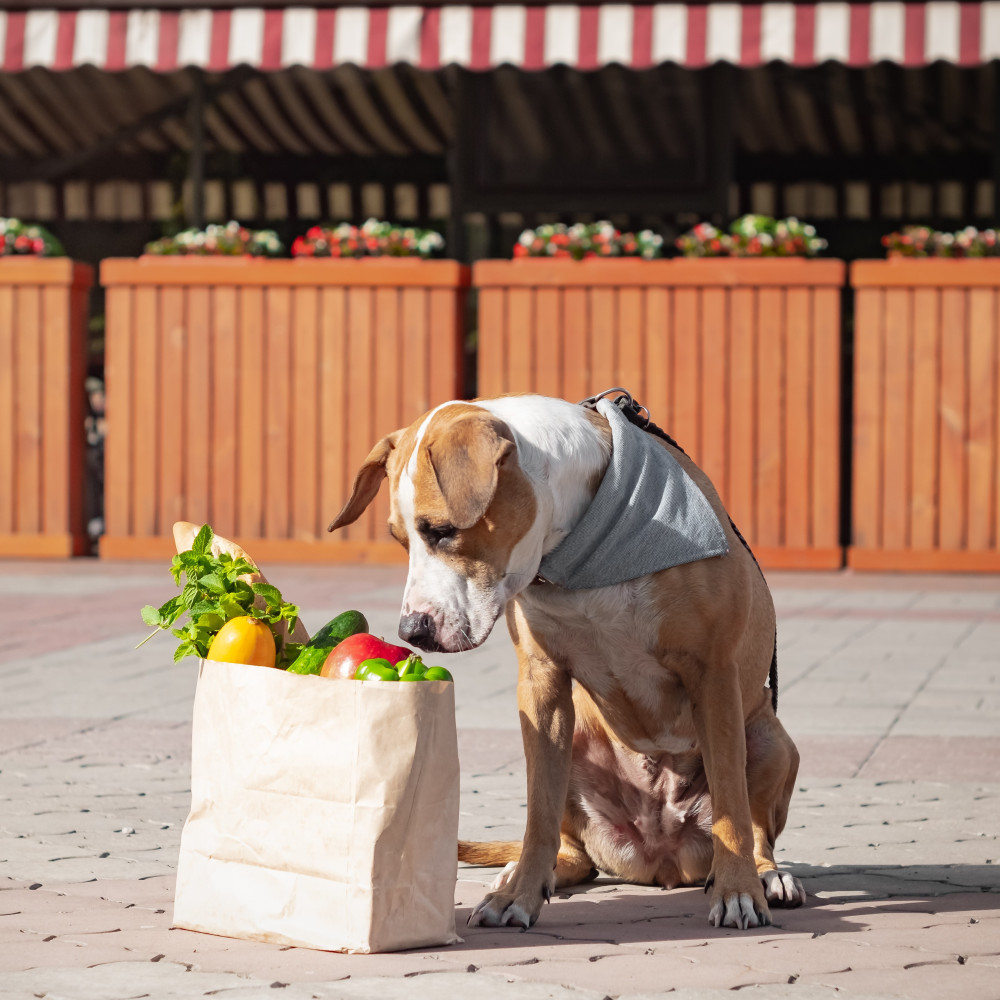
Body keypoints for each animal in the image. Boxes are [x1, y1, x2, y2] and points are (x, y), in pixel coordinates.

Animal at [328, 388, 804, 928]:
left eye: (442, 531)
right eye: (400, 539)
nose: (412, 630)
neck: (579, 555)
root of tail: (662, 859)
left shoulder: (713, 675)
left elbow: (731, 806)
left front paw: (738, 891)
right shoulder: (542, 686)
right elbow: (538, 811)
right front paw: (519, 895)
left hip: (768, 738)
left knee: (756, 825)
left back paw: (767, 876)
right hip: (575, 739)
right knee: (571, 845)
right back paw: (524, 873)